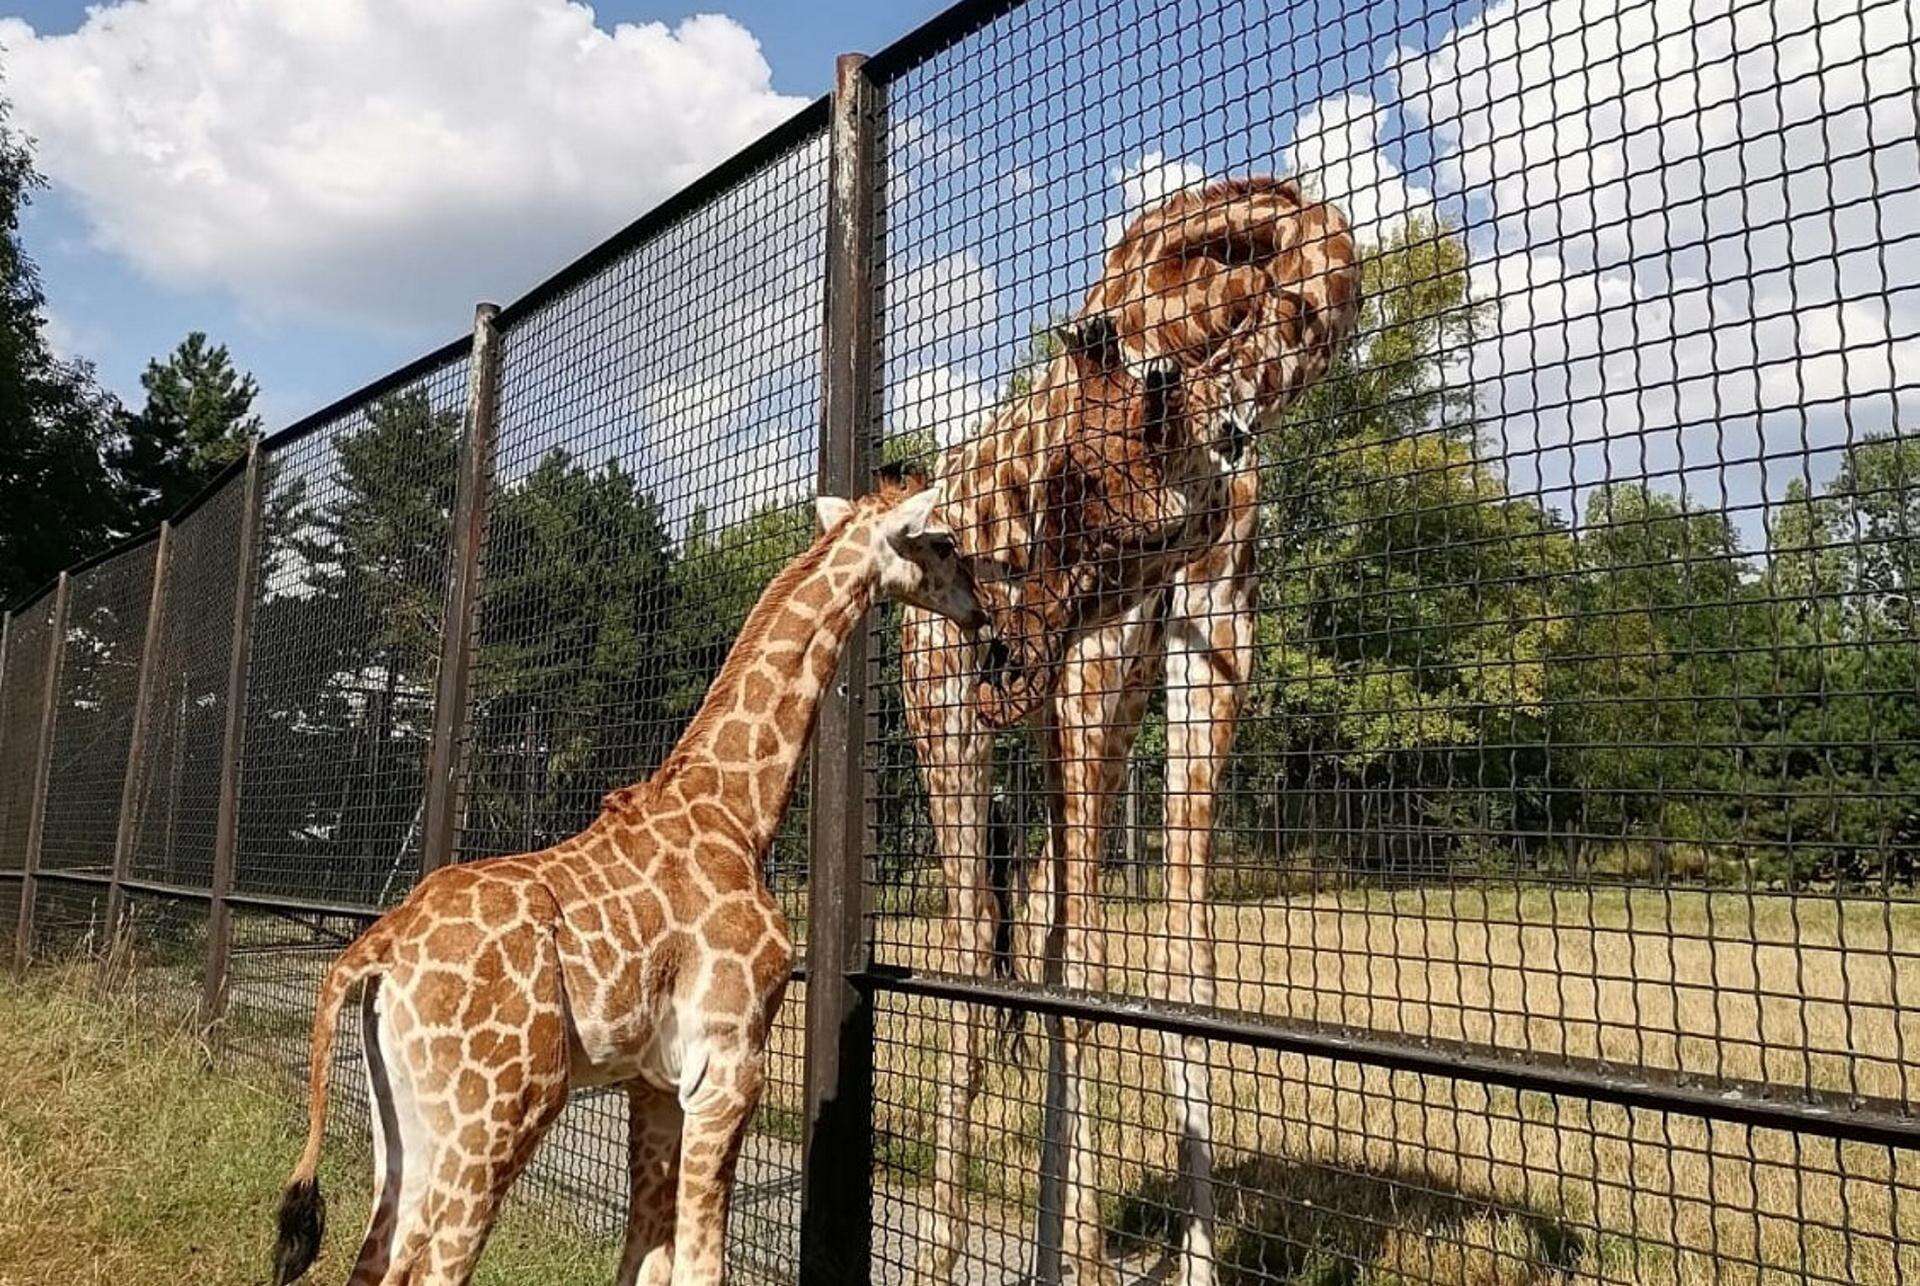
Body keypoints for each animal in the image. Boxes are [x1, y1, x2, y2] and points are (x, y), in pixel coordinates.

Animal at [274, 470, 990, 1286]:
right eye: (945, 541)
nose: (980, 606)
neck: (737, 811)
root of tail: (379, 947)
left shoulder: (656, 1082)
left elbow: (645, 1257)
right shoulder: (729, 1063)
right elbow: (701, 1264)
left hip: (405, 1118)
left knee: (374, 1258)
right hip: (499, 1111)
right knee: (431, 1266)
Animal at [902, 176, 1367, 1282]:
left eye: (1151, 535)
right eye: (1048, 489)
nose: (1227, 431)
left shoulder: (1211, 638)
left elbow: (1179, 956)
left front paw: (1187, 1262)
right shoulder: (1097, 653)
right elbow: (1083, 961)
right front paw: (1070, 1252)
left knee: (1028, 918)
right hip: (949, 718)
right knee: (969, 941)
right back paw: (945, 1249)